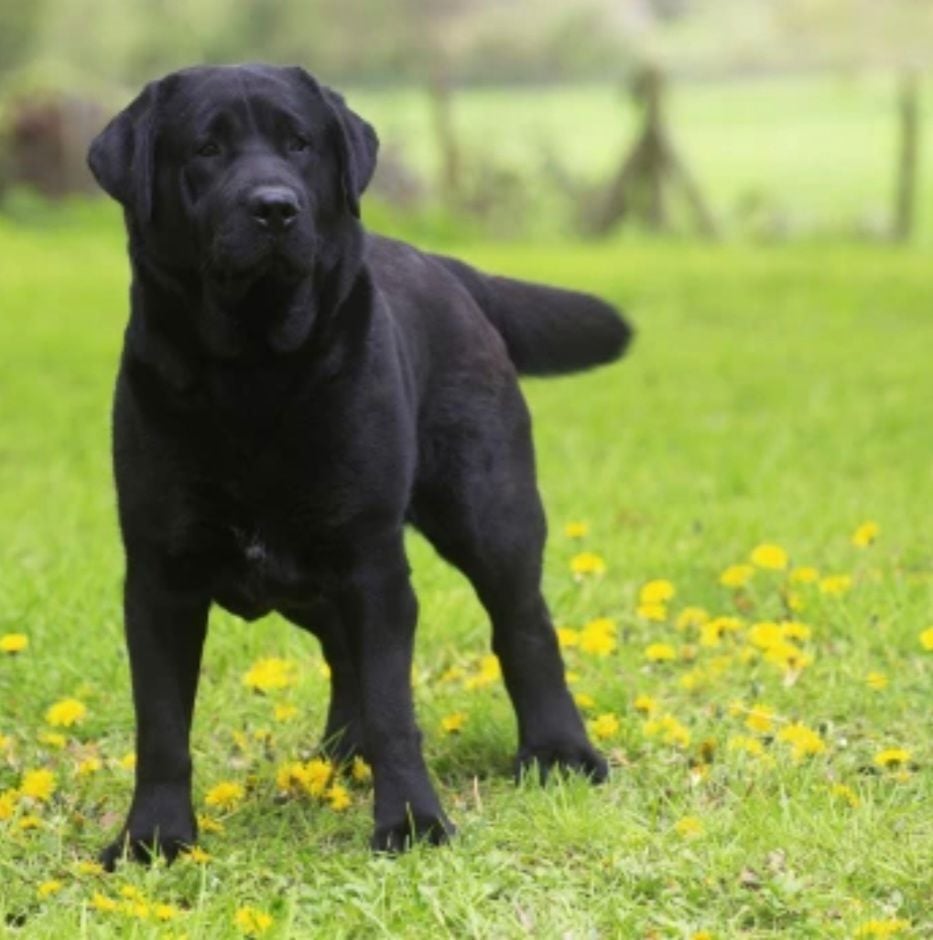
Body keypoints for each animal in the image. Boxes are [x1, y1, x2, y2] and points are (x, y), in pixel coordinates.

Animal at [87, 62, 628, 864]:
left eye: (300, 144)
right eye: (206, 148)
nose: (275, 208)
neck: (252, 375)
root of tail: (447, 267)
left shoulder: (372, 566)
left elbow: (393, 704)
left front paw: (411, 822)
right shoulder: (160, 577)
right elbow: (160, 725)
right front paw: (153, 838)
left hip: (489, 512)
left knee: (524, 626)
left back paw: (558, 752)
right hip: (307, 579)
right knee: (341, 656)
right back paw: (339, 758)